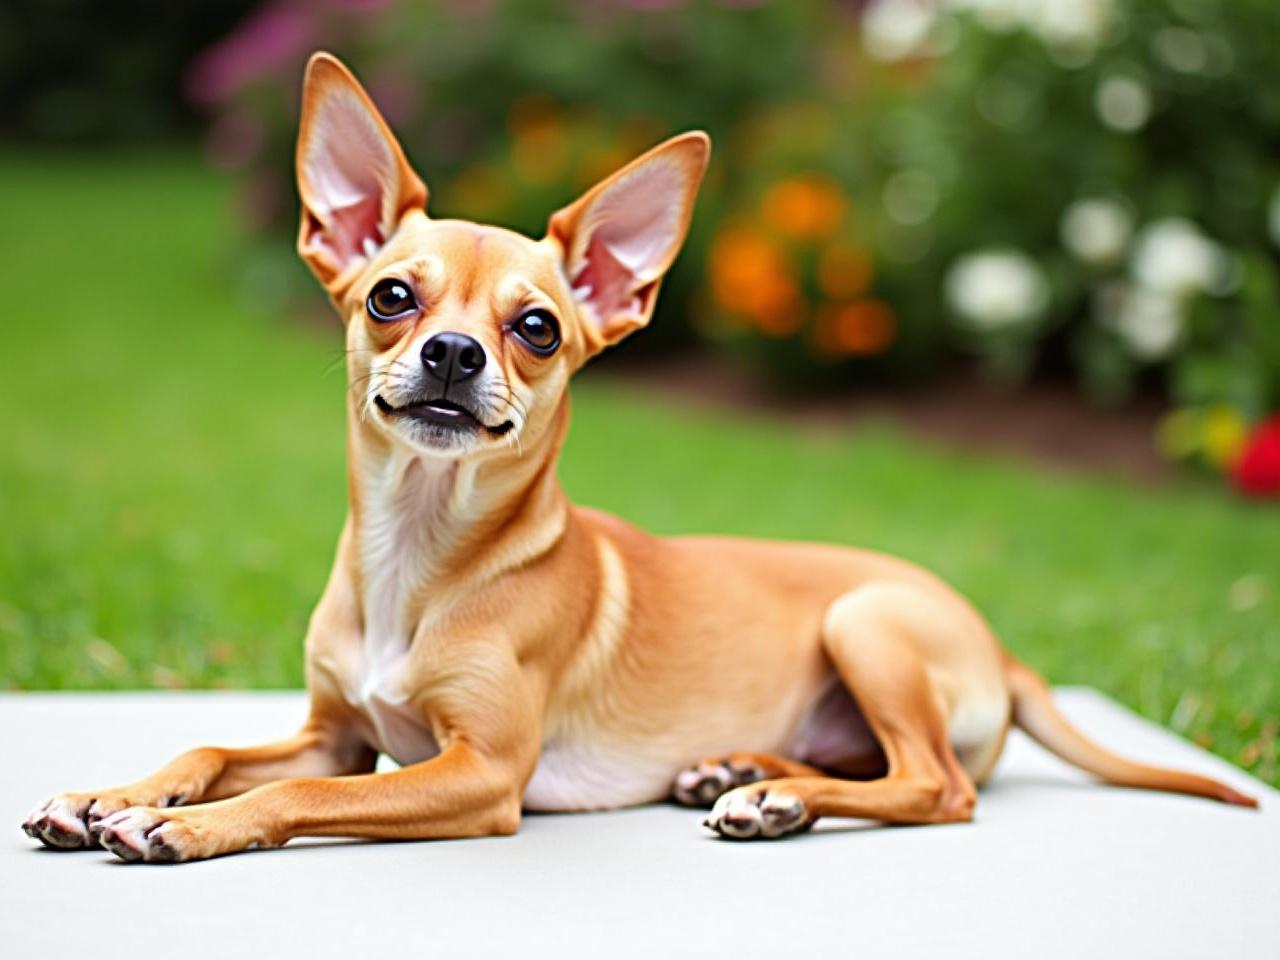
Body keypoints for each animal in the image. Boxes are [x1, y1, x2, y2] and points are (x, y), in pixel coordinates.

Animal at [22, 52, 1259, 865]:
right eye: (389, 297)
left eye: (535, 328)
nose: (454, 351)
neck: (421, 560)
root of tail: (999, 650)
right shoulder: (333, 737)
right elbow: (208, 740)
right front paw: (110, 793)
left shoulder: (474, 777)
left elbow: (295, 804)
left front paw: (182, 824)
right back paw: (747, 773)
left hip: (864, 623)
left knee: (937, 787)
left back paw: (775, 803)